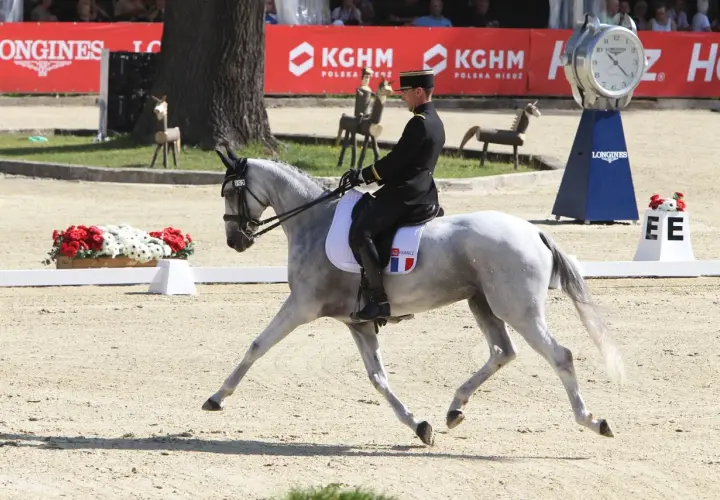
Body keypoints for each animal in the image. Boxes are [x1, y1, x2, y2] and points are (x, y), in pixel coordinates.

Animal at [202, 148, 626, 446]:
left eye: (227, 192)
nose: (235, 240)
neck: (315, 221)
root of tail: (533, 231)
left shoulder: (301, 306)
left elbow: (257, 346)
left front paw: (217, 398)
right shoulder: (358, 323)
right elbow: (378, 378)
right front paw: (420, 426)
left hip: (517, 309)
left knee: (560, 355)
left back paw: (593, 421)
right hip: (483, 303)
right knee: (503, 352)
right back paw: (454, 410)